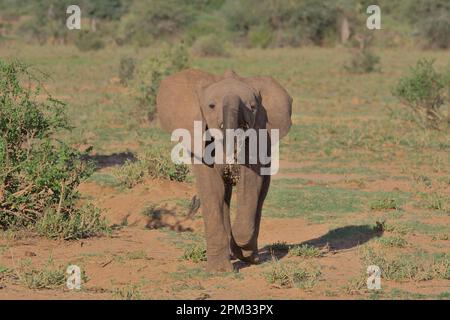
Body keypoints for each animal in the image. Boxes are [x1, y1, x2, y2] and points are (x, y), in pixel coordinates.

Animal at [156, 69, 294, 272]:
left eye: (253, 107)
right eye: (211, 106)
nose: (231, 167)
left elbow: (250, 182)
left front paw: (242, 250)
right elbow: (212, 190)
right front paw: (219, 271)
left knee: (259, 197)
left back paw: (250, 256)